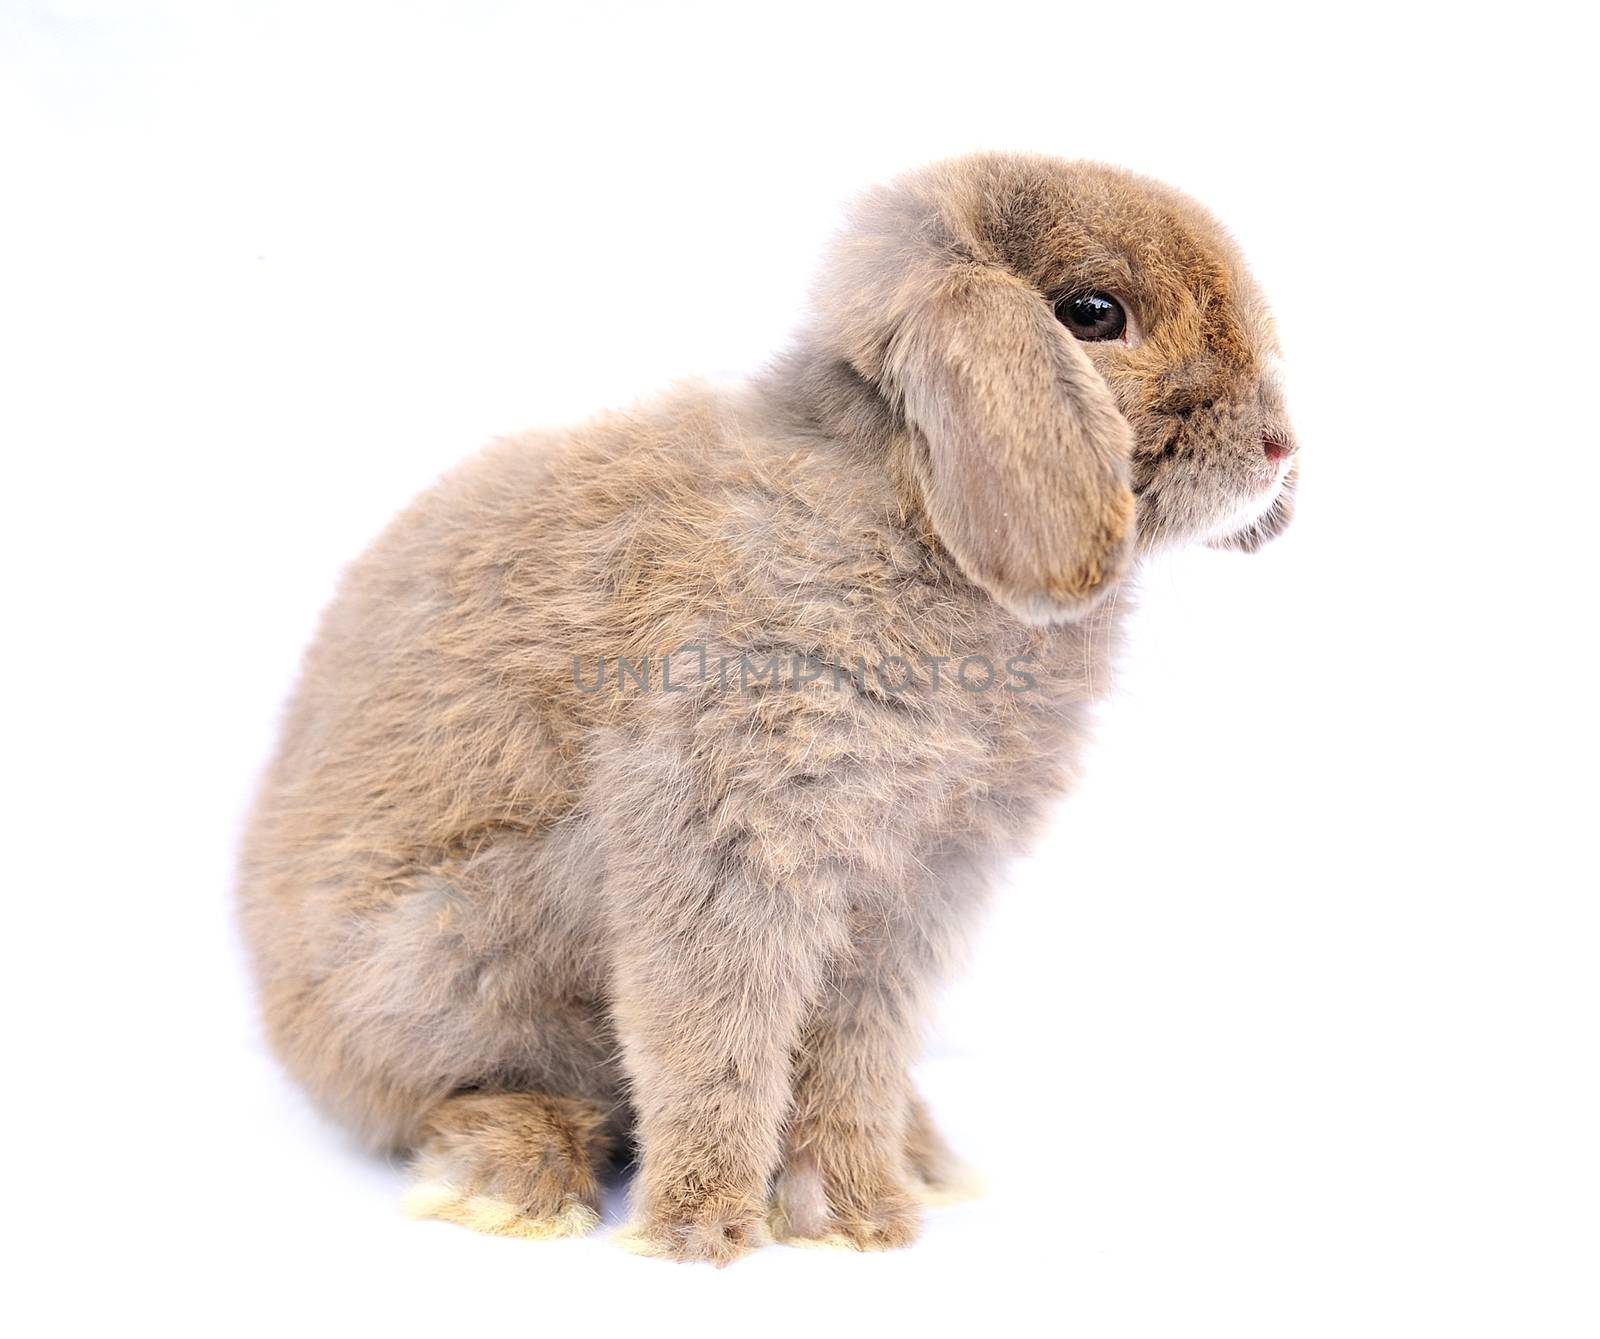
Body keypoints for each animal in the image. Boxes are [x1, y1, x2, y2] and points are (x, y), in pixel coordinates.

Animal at [236, 151, 1299, 1260]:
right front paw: (700, 1232)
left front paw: (857, 1218)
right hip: (453, 954)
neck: (902, 507)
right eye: (1092, 313)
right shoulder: (728, 852)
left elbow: (853, 1061)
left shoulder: (912, 896)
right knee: (452, 1100)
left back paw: (925, 1156)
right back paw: (515, 1186)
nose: (1279, 445)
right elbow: (713, 1046)